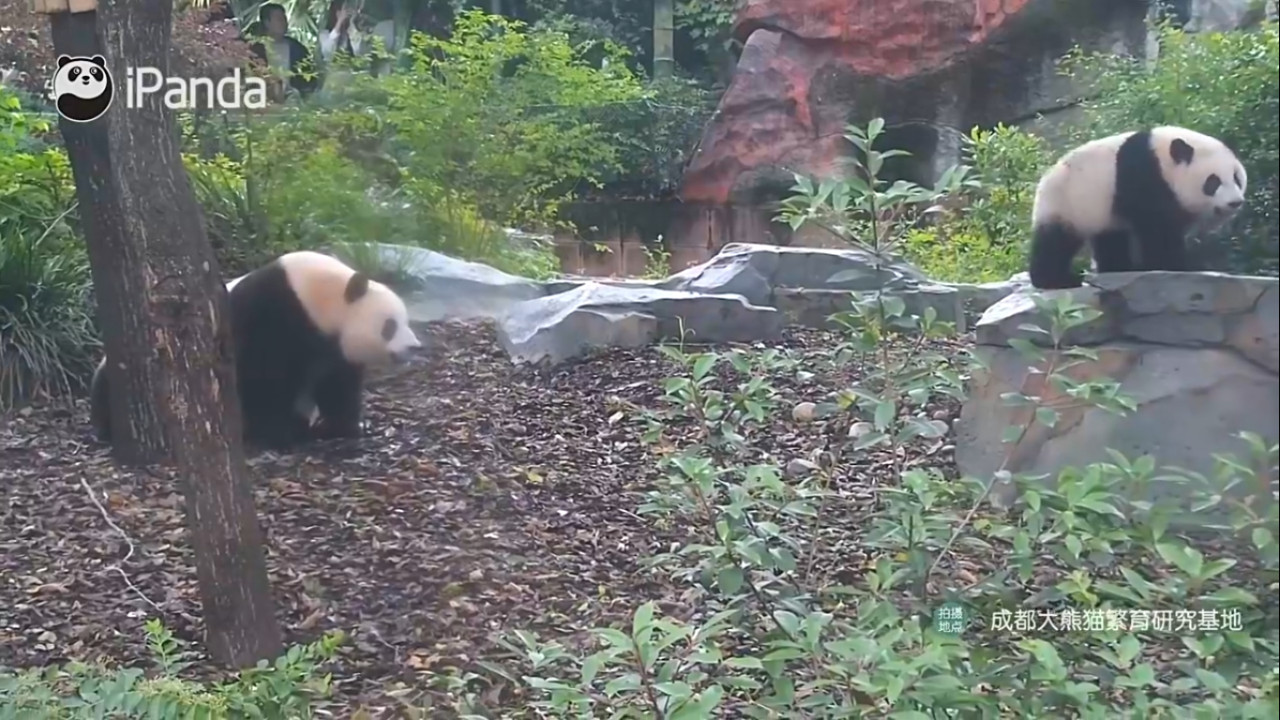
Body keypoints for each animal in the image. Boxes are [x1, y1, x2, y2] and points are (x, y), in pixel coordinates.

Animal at [90, 249, 419, 445]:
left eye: (405, 319)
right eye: (390, 325)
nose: (414, 347)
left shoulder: (331, 347)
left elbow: (337, 384)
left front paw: (341, 427)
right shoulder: (273, 314)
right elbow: (262, 376)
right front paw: (283, 432)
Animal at [1029, 126, 1249, 288]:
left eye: (1236, 178)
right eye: (1213, 182)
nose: (1234, 202)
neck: (1162, 158)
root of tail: (1045, 179)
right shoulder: (1143, 176)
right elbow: (1157, 229)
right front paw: (1174, 266)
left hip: (1102, 212)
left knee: (1111, 239)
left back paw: (1118, 268)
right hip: (1066, 203)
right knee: (1056, 242)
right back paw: (1058, 279)